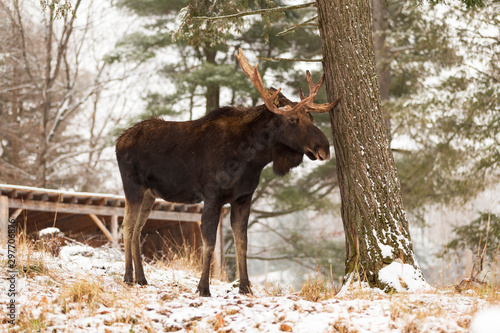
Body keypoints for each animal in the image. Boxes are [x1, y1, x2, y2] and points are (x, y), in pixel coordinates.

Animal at [115, 48, 342, 294]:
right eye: (292, 119)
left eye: (309, 117)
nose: (324, 147)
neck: (253, 159)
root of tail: (118, 141)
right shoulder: (212, 196)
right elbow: (209, 243)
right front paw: (203, 288)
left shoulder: (243, 198)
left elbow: (242, 243)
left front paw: (245, 287)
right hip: (133, 186)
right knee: (127, 226)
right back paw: (128, 277)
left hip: (150, 194)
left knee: (138, 229)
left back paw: (141, 278)